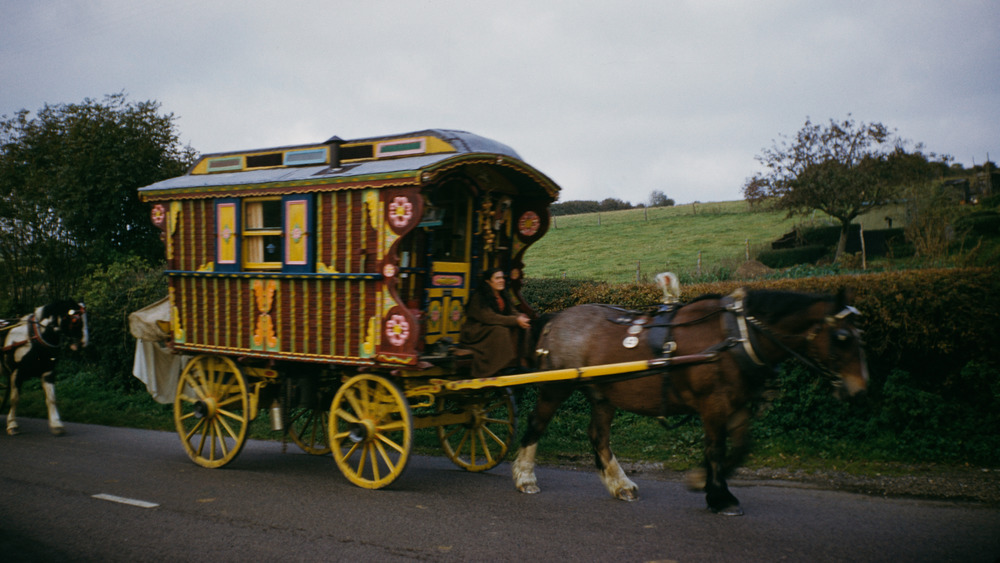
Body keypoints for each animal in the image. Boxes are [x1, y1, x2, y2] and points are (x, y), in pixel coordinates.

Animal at [1, 300, 89, 436]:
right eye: (76, 320)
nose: (85, 343)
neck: (34, 339)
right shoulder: (17, 373)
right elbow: (15, 399)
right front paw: (12, 424)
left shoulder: (48, 372)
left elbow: (51, 399)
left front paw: (56, 424)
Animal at [512, 288, 864, 516]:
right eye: (842, 337)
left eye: (860, 336)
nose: (859, 389)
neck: (736, 336)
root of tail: (557, 318)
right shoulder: (714, 405)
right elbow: (716, 448)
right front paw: (718, 496)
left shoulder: (737, 405)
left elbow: (741, 447)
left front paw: (703, 482)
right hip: (556, 386)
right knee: (536, 424)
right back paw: (525, 477)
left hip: (603, 393)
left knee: (599, 437)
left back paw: (620, 484)